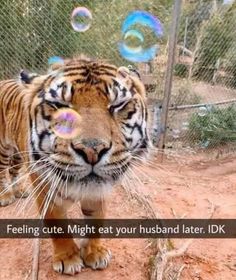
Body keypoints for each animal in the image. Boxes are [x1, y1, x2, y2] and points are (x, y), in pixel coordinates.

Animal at [0, 55, 150, 274]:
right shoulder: (45, 186)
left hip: (18, 155)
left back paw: (19, 191)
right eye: (59, 105)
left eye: (118, 105)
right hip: (3, 148)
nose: (92, 150)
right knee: (2, 171)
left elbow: (97, 220)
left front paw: (95, 253)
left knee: (14, 170)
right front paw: (68, 258)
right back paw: (5, 196)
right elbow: (56, 223)